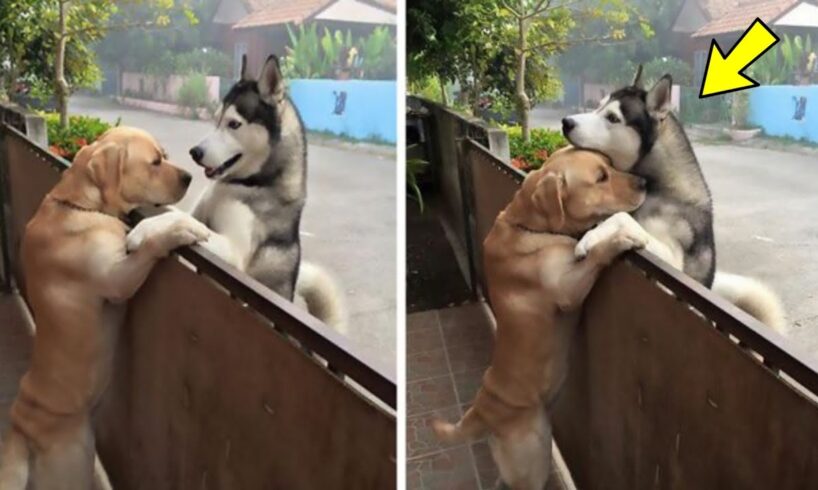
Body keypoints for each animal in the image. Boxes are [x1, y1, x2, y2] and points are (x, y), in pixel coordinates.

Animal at [1, 127, 210, 490]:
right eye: (155, 162)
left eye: (164, 155)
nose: (188, 177)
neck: (80, 205)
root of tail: (20, 430)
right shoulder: (117, 279)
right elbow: (149, 245)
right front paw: (179, 230)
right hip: (72, 465)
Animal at [131, 54, 344, 330]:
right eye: (216, 120)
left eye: (234, 124)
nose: (195, 152)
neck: (247, 184)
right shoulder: (199, 212)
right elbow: (175, 211)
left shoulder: (235, 254)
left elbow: (180, 219)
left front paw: (143, 231)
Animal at [434, 148, 652, 490]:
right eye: (601, 177)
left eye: (611, 165)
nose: (645, 182)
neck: (529, 225)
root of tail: (481, 412)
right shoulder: (568, 290)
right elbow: (597, 252)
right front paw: (619, 240)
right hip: (534, 458)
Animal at [560, 66, 784, 334]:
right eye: (598, 105)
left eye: (612, 118)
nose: (566, 122)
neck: (660, 188)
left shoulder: (672, 263)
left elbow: (622, 217)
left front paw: (589, 238)